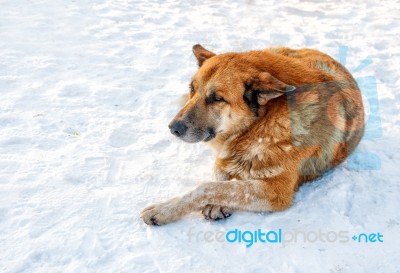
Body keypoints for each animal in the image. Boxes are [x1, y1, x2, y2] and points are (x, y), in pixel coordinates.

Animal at [139, 43, 364, 224]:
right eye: (192, 89)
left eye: (216, 99)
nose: (173, 128)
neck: (258, 126)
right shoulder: (225, 157)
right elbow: (219, 179)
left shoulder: (276, 190)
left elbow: (210, 187)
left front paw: (164, 210)